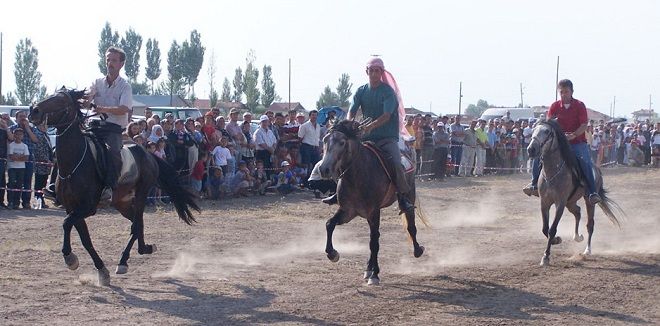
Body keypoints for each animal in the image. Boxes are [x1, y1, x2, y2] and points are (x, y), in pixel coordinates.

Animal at [28, 89, 199, 286]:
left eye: (61, 100)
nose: (34, 110)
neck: (75, 163)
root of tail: (148, 154)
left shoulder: (87, 208)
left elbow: (66, 224)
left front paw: (70, 258)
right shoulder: (72, 208)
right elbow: (84, 238)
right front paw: (101, 270)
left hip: (141, 194)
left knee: (137, 224)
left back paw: (125, 260)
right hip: (121, 202)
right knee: (136, 223)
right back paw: (144, 249)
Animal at [318, 119, 428, 286]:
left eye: (342, 142)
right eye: (325, 140)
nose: (324, 169)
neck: (357, 176)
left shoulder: (374, 211)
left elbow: (374, 242)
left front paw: (375, 274)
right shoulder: (348, 211)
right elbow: (329, 224)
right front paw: (332, 254)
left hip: (410, 195)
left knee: (410, 226)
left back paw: (417, 250)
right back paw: (368, 268)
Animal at [524, 119, 624, 264]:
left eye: (547, 132)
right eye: (533, 130)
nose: (531, 149)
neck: (553, 172)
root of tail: (597, 169)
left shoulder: (560, 203)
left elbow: (552, 229)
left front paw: (546, 256)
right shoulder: (545, 202)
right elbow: (545, 228)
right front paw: (556, 241)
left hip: (588, 201)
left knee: (590, 224)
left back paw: (587, 250)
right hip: (570, 202)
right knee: (577, 212)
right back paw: (577, 237)